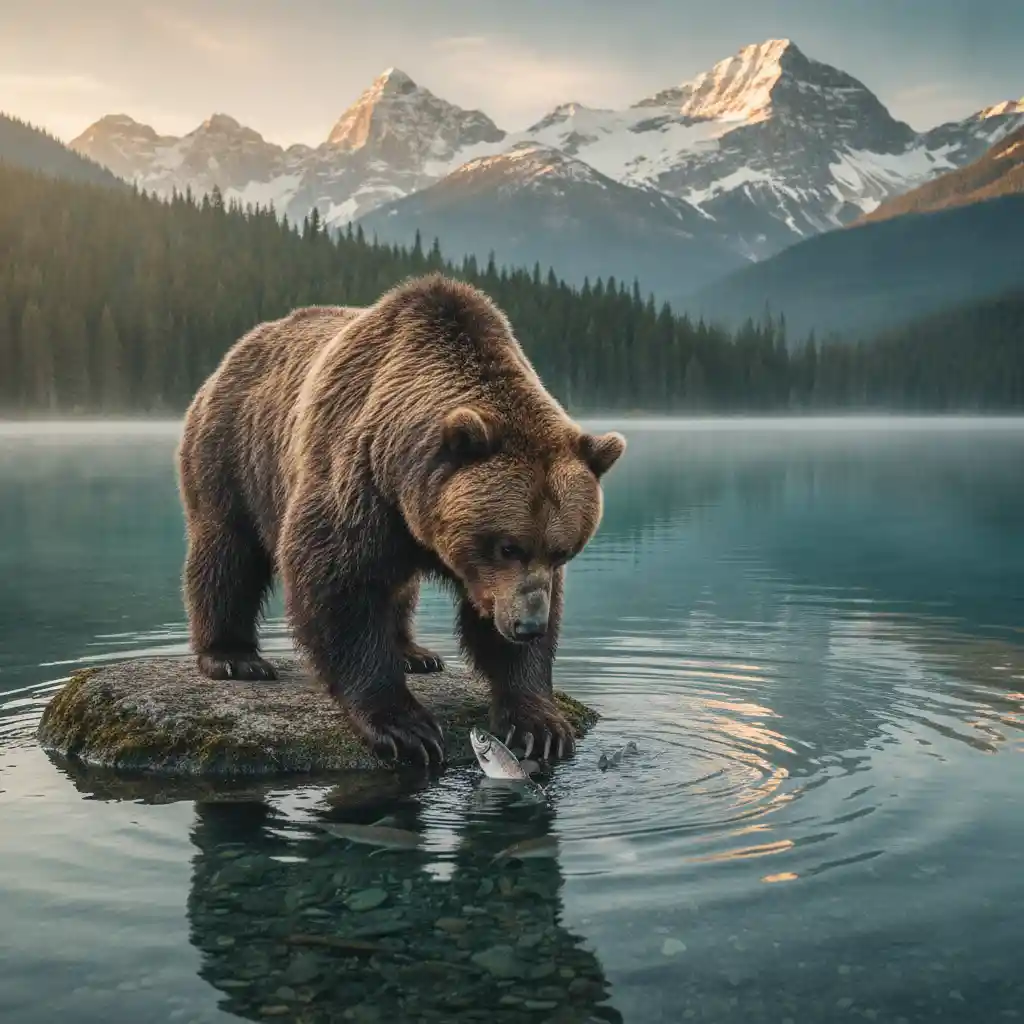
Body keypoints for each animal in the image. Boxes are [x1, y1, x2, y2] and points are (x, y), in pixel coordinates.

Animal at [176, 273, 625, 769]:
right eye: (508, 546)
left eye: (563, 550)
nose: (528, 626)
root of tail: (237, 351)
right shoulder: (356, 476)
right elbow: (339, 582)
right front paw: (404, 726)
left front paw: (538, 723)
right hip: (234, 452)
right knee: (227, 552)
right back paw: (233, 657)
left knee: (400, 586)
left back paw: (415, 653)